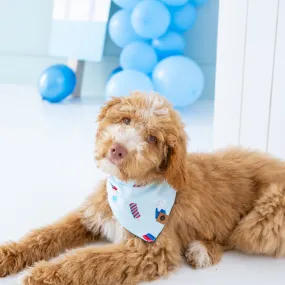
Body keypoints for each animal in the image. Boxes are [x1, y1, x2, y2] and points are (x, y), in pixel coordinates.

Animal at [0, 91, 284, 284]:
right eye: (126, 120)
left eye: (152, 139)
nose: (117, 149)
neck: (130, 189)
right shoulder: (89, 215)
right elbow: (45, 234)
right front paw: (8, 255)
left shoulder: (149, 251)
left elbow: (87, 260)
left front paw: (44, 273)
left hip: (260, 222)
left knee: (234, 237)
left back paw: (202, 250)